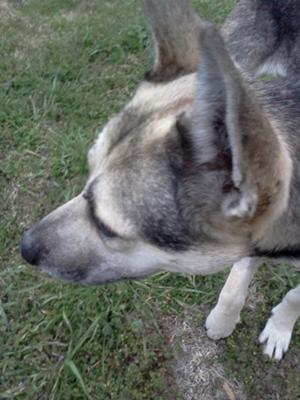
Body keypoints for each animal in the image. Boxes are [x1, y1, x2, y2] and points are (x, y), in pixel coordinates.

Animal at [20, 0, 300, 360]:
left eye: (107, 228)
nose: (23, 247)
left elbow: (294, 295)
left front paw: (279, 327)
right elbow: (238, 277)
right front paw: (224, 319)